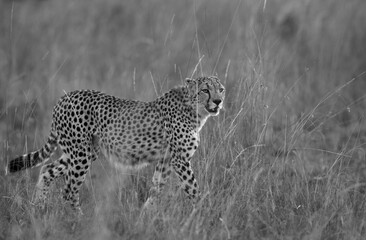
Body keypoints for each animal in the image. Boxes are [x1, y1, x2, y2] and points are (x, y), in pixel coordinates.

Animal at [7, 76, 226, 213]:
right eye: (205, 90)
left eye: (221, 89)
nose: (218, 101)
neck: (194, 110)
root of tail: (65, 97)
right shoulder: (180, 160)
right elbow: (193, 189)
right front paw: (205, 212)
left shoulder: (165, 160)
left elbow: (156, 189)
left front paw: (145, 216)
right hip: (80, 154)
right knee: (69, 190)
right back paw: (77, 220)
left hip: (83, 151)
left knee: (47, 169)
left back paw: (38, 209)